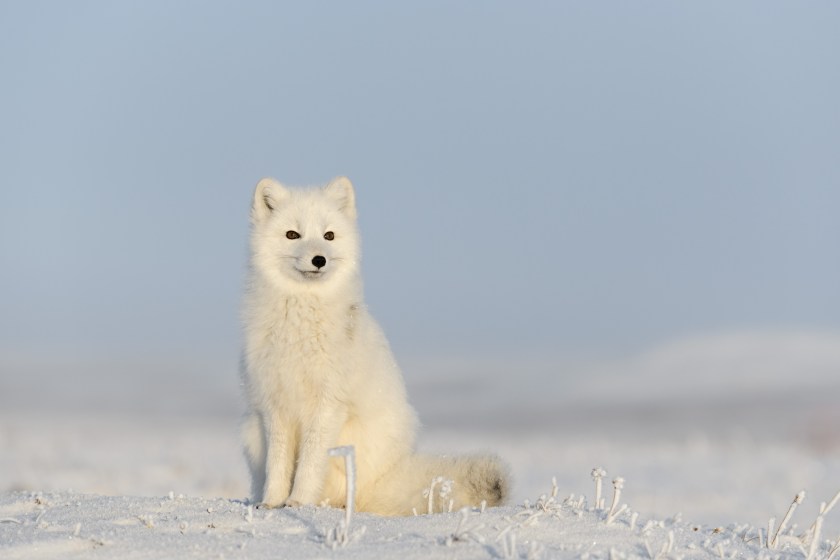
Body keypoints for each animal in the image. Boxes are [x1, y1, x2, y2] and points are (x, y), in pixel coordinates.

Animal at [240, 176, 509, 516]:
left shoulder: (328, 403)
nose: (319, 259)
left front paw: (299, 501)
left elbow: (310, 463)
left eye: (328, 235)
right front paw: (272, 502)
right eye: (292, 234)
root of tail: (387, 478)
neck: (301, 323)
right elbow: (278, 464)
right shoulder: (275, 404)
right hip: (250, 431)